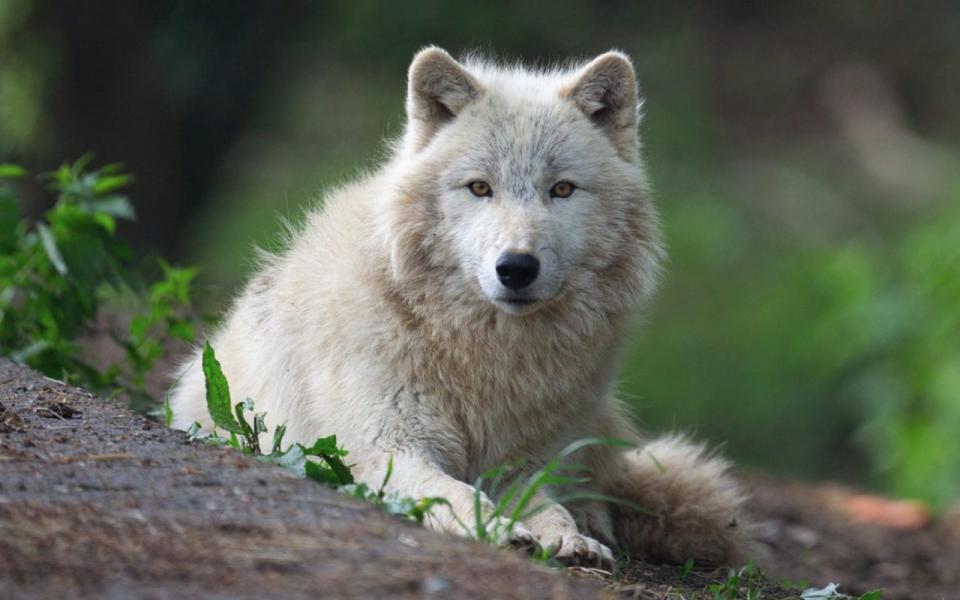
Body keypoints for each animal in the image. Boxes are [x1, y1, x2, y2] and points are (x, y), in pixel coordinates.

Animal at [171, 48, 752, 568]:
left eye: (562, 189)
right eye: (479, 188)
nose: (516, 267)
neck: (481, 354)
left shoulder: (522, 467)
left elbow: (549, 507)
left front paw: (568, 537)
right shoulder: (388, 448)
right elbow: (455, 492)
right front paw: (498, 529)